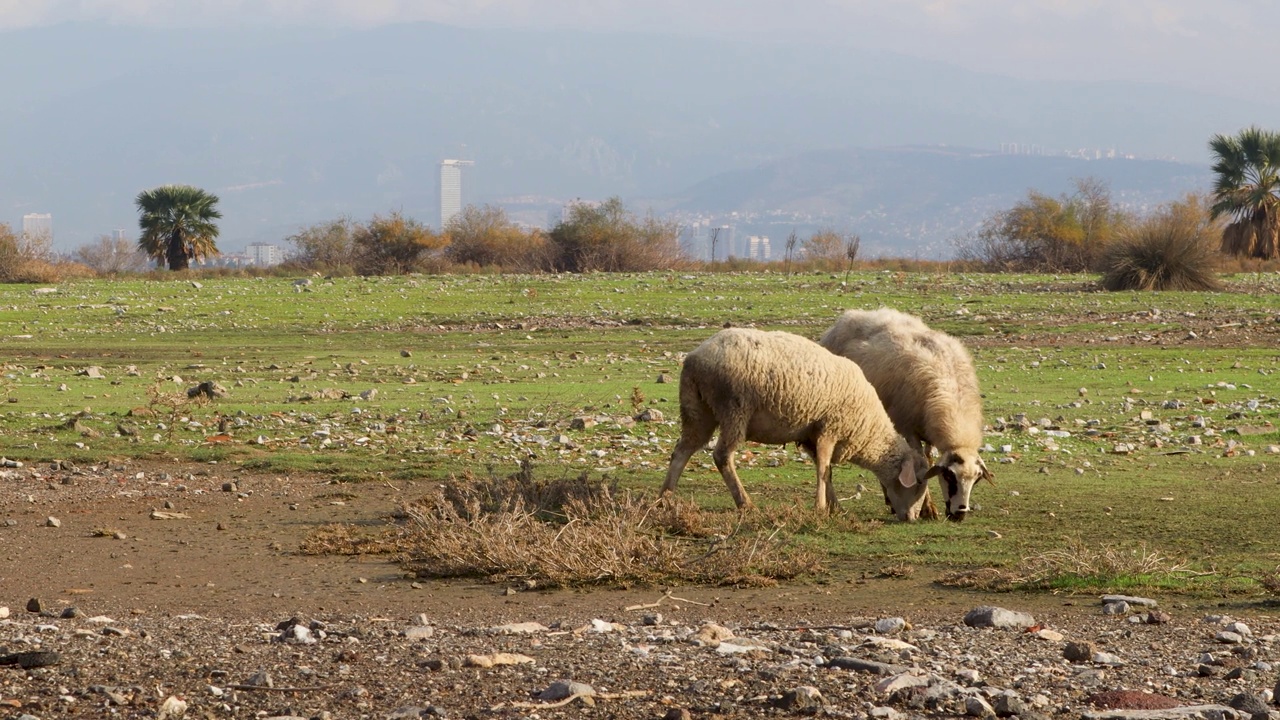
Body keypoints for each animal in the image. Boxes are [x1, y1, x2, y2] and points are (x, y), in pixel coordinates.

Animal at [660, 327, 931, 517]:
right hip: (734, 409)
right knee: (722, 456)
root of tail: (694, 359)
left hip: (697, 410)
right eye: (918, 483)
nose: (912, 518)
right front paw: (821, 508)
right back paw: (745, 503)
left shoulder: (811, 435)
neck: (867, 429)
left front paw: (834, 506)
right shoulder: (829, 428)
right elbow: (823, 468)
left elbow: (826, 471)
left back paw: (665, 498)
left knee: (681, 451)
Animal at [819, 304, 988, 517]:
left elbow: (928, 461)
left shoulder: (927, 432)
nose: (960, 514)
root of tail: (848, 316)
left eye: (976, 479)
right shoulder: (909, 429)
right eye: (950, 478)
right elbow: (921, 465)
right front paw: (927, 508)